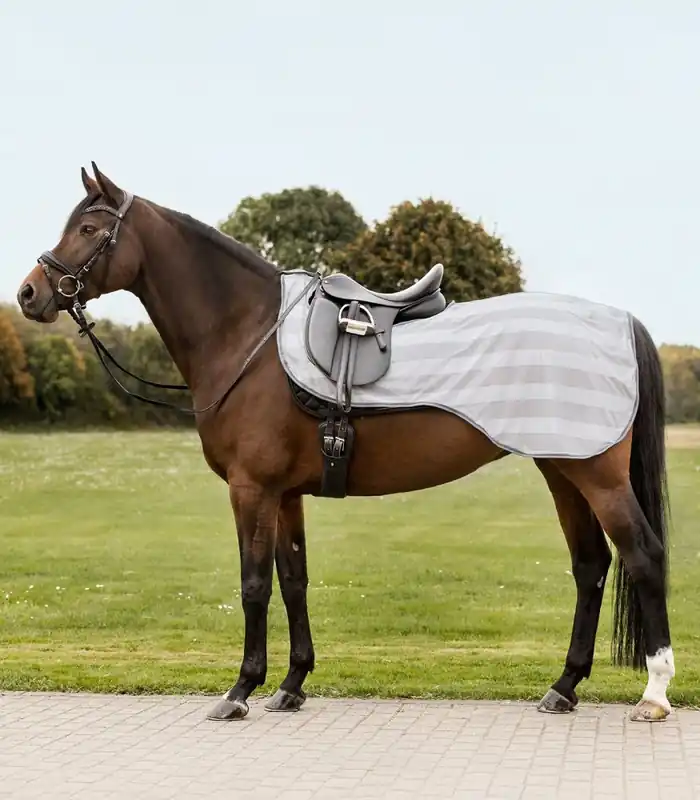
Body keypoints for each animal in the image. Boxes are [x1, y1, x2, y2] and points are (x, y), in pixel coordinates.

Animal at [16, 164, 674, 724]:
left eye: (89, 229)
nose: (29, 294)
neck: (248, 334)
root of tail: (620, 321)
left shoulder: (251, 490)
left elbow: (254, 585)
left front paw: (240, 690)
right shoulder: (284, 495)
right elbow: (293, 579)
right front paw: (290, 684)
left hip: (597, 476)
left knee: (643, 556)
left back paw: (654, 694)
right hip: (561, 470)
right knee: (591, 566)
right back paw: (564, 686)